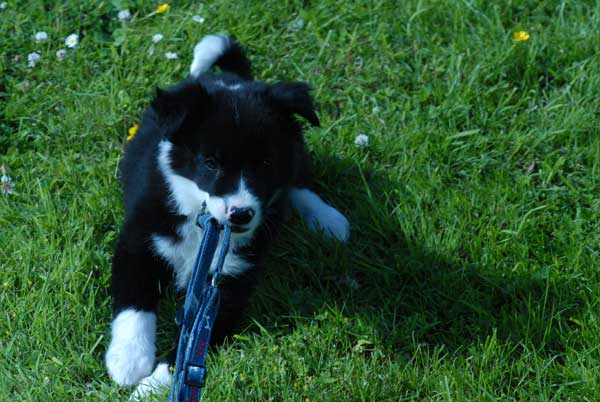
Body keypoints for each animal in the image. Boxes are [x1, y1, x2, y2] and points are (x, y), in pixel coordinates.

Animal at [106, 35, 352, 398]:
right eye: (210, 163)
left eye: (265, 164)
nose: (241, 215)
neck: (201, 227)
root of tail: (235, 78)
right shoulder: (139, 239)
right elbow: (133, 302)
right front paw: (128, 361)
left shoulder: (228, 286)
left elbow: (187, 351)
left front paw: (149, 388)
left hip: (295, 153)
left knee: (298, 182)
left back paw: (328, 220)